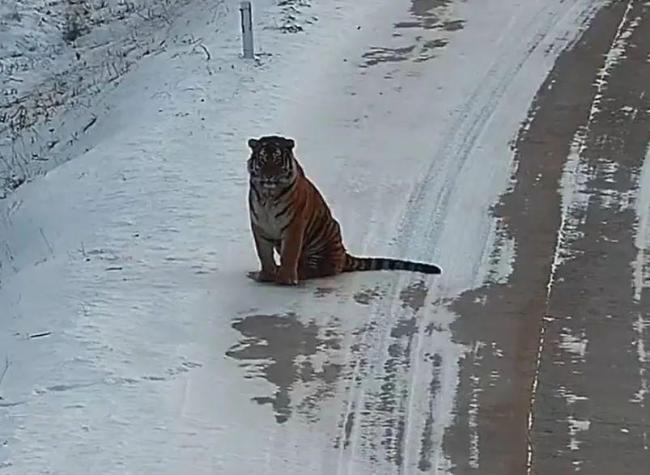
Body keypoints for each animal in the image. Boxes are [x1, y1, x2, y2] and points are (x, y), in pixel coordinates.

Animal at [246, 135, 442, 286]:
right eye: (262, 160)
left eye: (277, 160)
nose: (268, 176)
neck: (268, 196)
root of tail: (343, 253)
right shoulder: (259, 226)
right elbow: (264, 254)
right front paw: (265, 276)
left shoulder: (294, 226)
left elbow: (289, 253)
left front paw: (285, 279)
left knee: (316, 268)